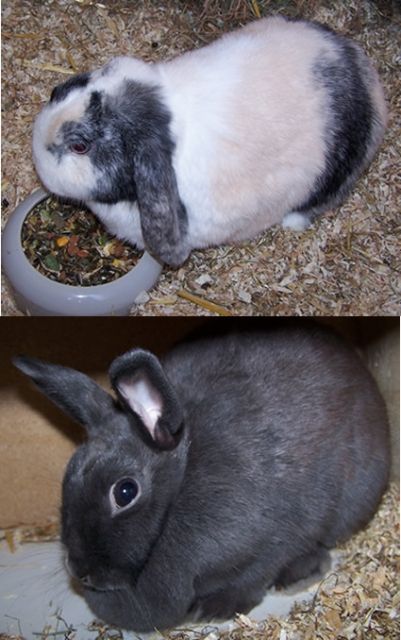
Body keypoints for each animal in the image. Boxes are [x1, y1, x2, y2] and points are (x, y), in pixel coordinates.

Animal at [14, 324, 390, 632]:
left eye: (125, 492)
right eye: (67, 477)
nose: (80, 571)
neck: (181, 483)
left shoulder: (269, 543)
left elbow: (255, 576)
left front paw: (214, 610)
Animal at [31, 16, 387, 267]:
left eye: (80, 146)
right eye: (57, 91)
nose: (36, 156)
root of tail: (366, 80)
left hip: (336, 169)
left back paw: (293, 221)